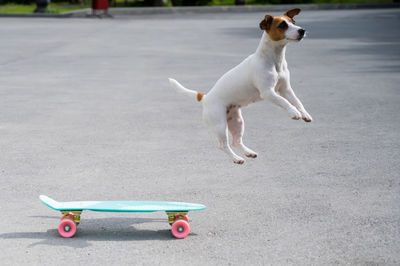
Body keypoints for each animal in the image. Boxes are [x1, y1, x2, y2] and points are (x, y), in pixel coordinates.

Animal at [169, 8, 312, 164]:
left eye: (294, 22)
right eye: (282, 25)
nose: (302, 30)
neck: (274, 60)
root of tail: (205, 98)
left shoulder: (285, 89)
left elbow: (297, 101)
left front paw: (304, 114)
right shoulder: (268, 92)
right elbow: (284, 102)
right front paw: (294, 113)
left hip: (237, 122)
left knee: (236, 141)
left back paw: (249, 153)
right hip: (220, 125)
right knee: (223, 145)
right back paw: (237, 159)